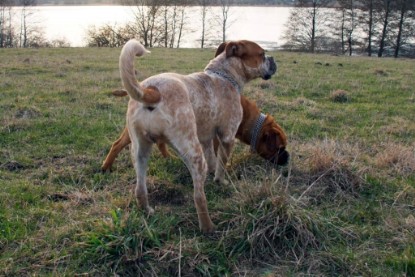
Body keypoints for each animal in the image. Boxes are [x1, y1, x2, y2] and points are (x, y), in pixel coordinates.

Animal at [101, 92, 290, 170]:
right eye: (279, 148)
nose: (288, 157)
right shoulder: (217, 138)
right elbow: (218, 154)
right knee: (117, 145)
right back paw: (106, 167)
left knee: (161, 144)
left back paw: (169, 158)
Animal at [116, 38, 276, 231]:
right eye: (261, 54)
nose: (273, 59)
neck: (224, 76)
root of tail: (152, 92)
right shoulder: (227, 137)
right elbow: (222, 165)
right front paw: (221, 181)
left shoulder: (207, 139)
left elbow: (214, 160)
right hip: (194, 154)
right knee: (198, 197)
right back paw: (208, 228)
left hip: (140, 152)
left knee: (140, 189)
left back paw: (147, 210)